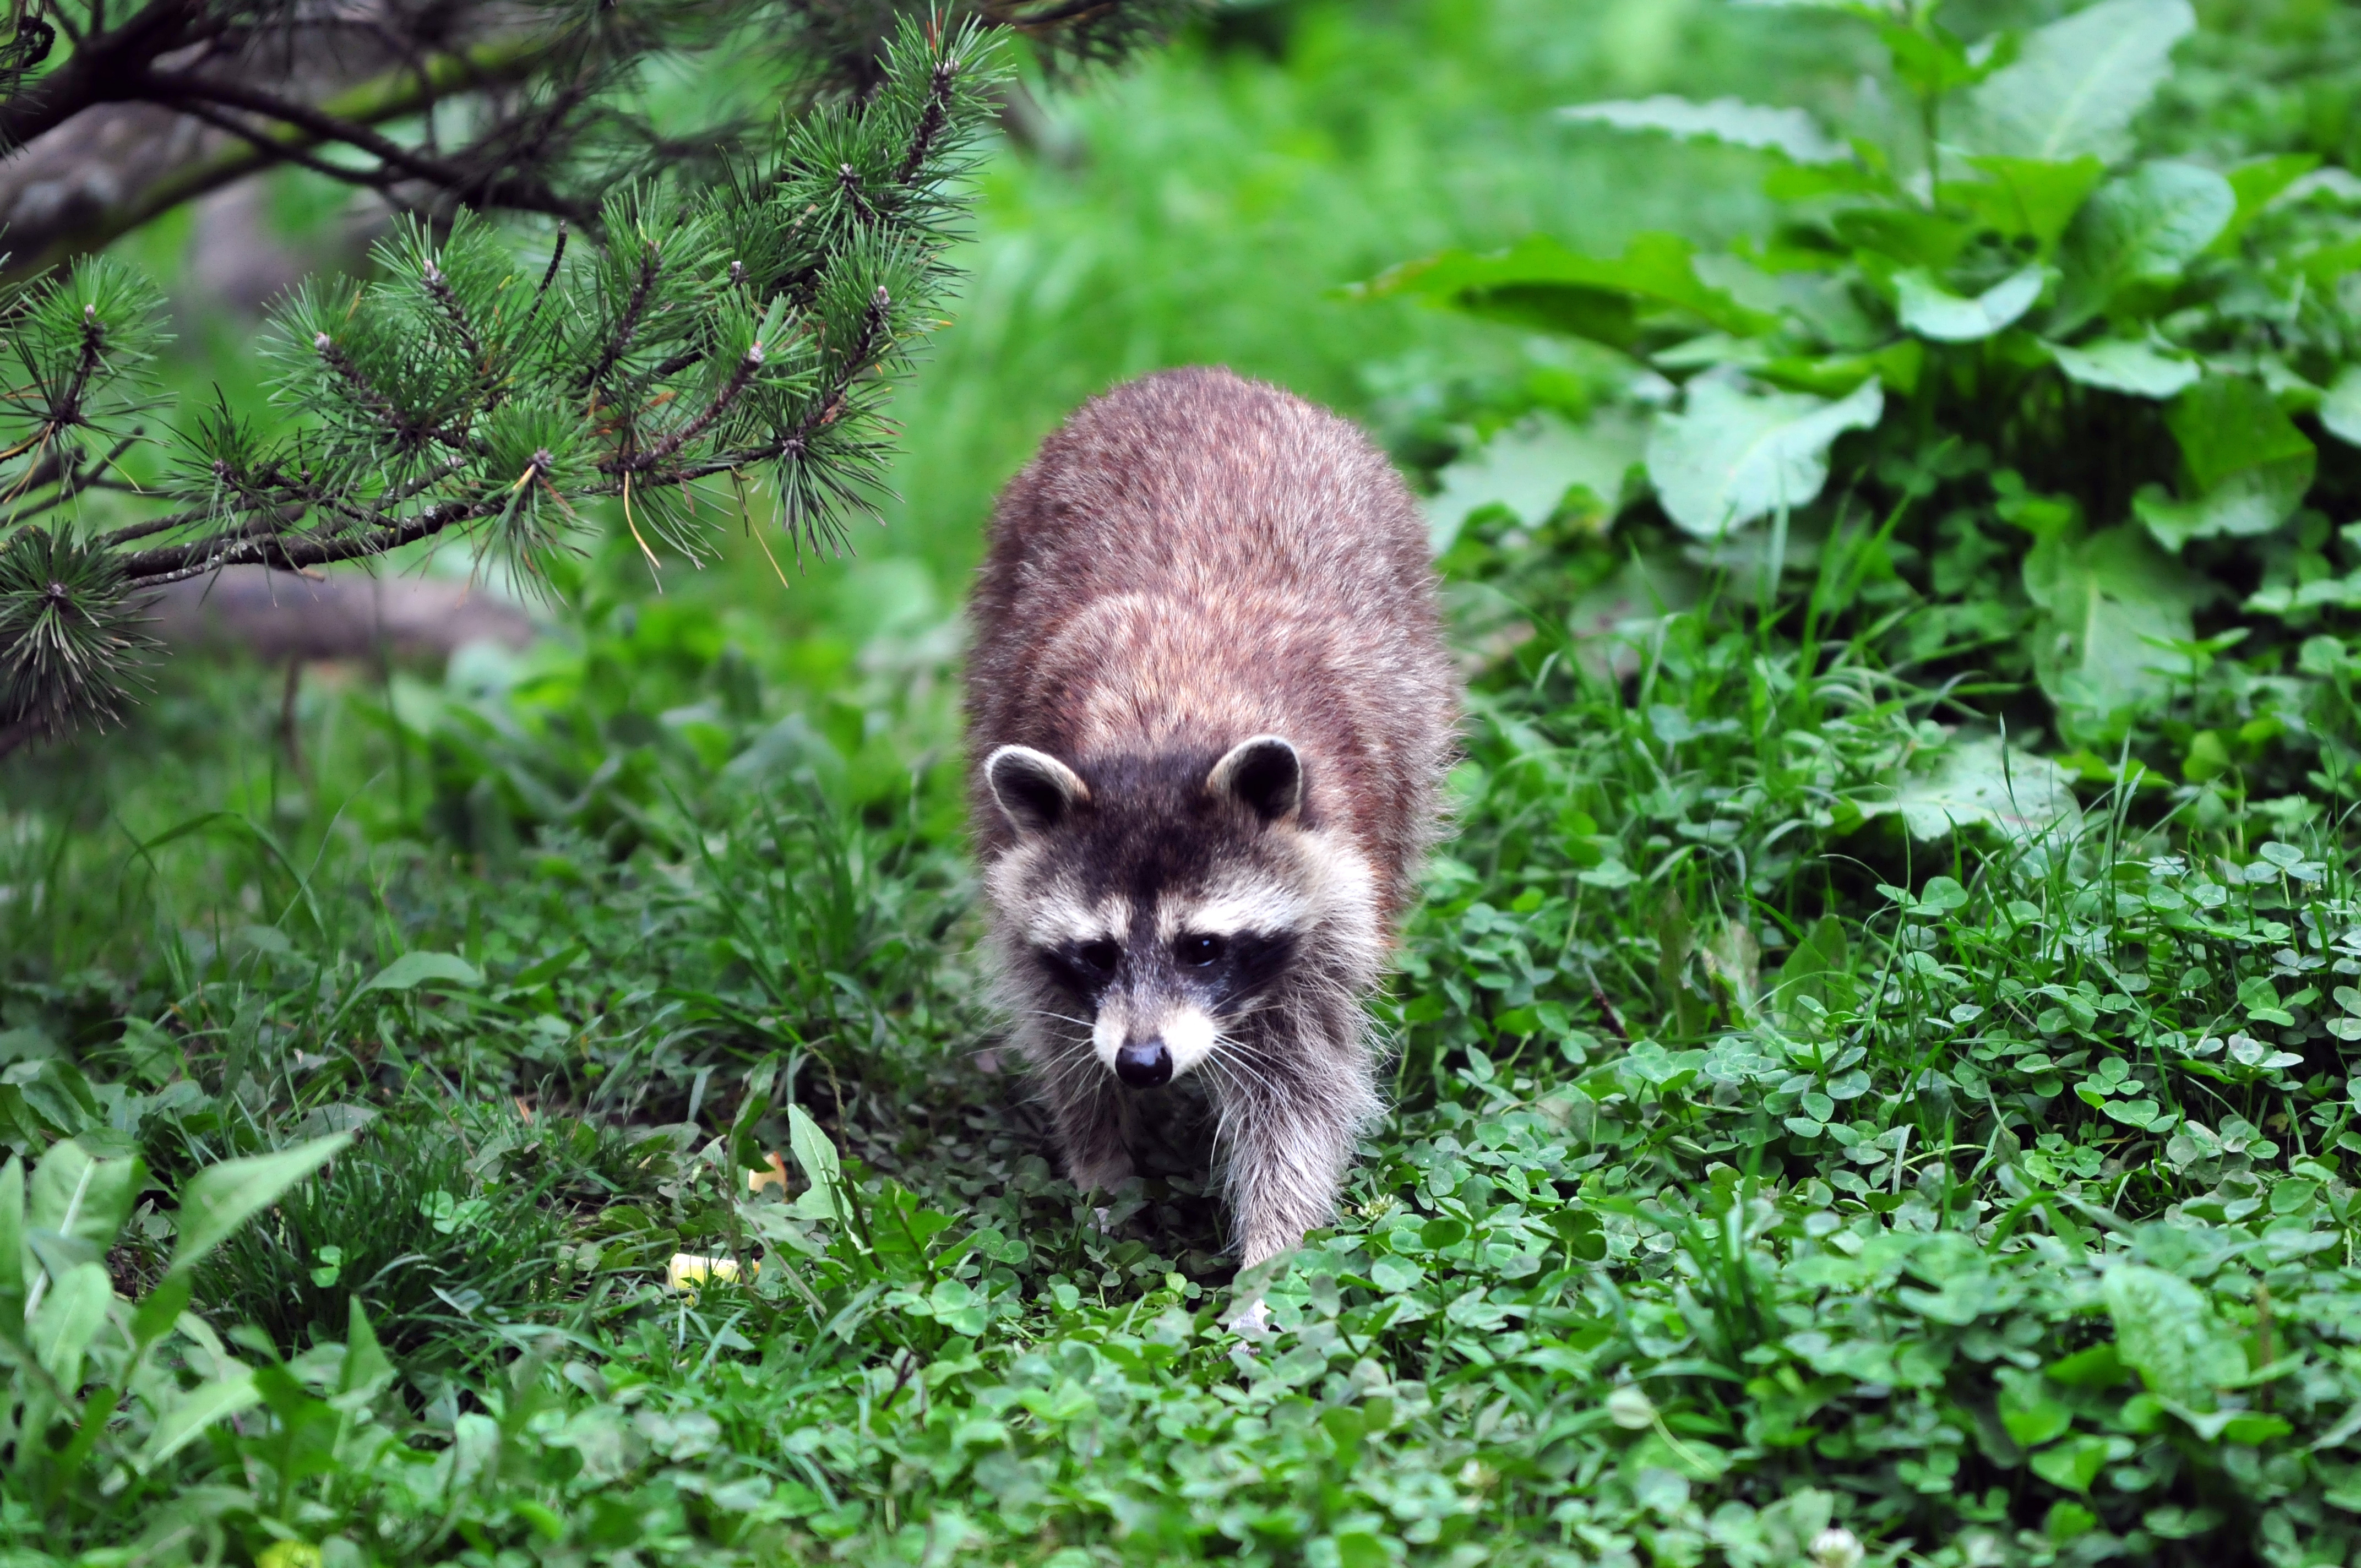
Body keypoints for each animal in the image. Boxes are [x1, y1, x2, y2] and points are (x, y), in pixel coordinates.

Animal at [963, 363, 1454, 1265]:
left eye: (1202, 947)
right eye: (1095, 952)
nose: (1142, 1061)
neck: (1163, 734)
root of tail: (1195, 375)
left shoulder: (1332, 899)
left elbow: (1301, 1090)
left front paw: (1274, 1253)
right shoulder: (1014, 875)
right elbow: (1061, 1037)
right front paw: (1102, 1165)